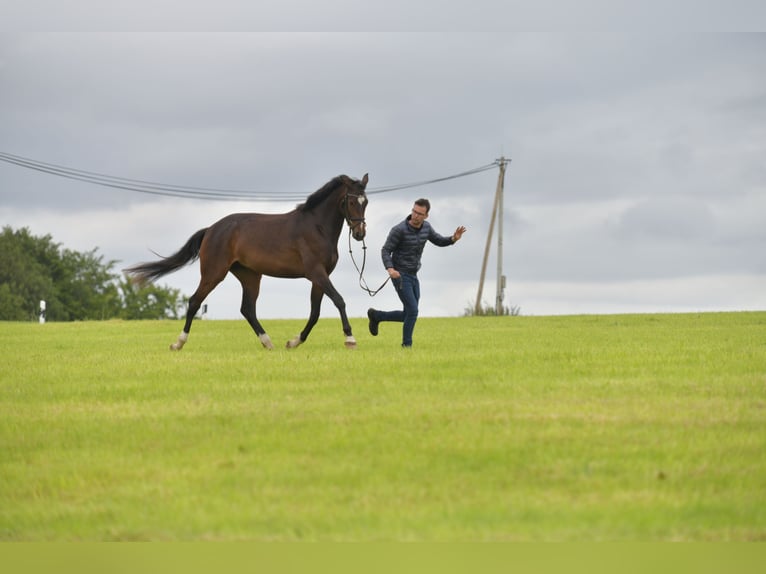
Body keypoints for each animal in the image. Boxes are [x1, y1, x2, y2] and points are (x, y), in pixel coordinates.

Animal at [127, 172, 372, 352]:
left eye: (366, 201)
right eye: (351, 200)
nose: (359, 234)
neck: (316, 227)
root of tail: (212, 229)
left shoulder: (320, 277)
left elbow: (315, 313)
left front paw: (294, 342)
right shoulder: (316, 273)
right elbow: (339, 301)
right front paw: (350, 339)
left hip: (250, 276)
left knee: (247, 309)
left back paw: (268, 342)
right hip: (214, 273)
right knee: (195, 301)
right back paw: (178, 343)